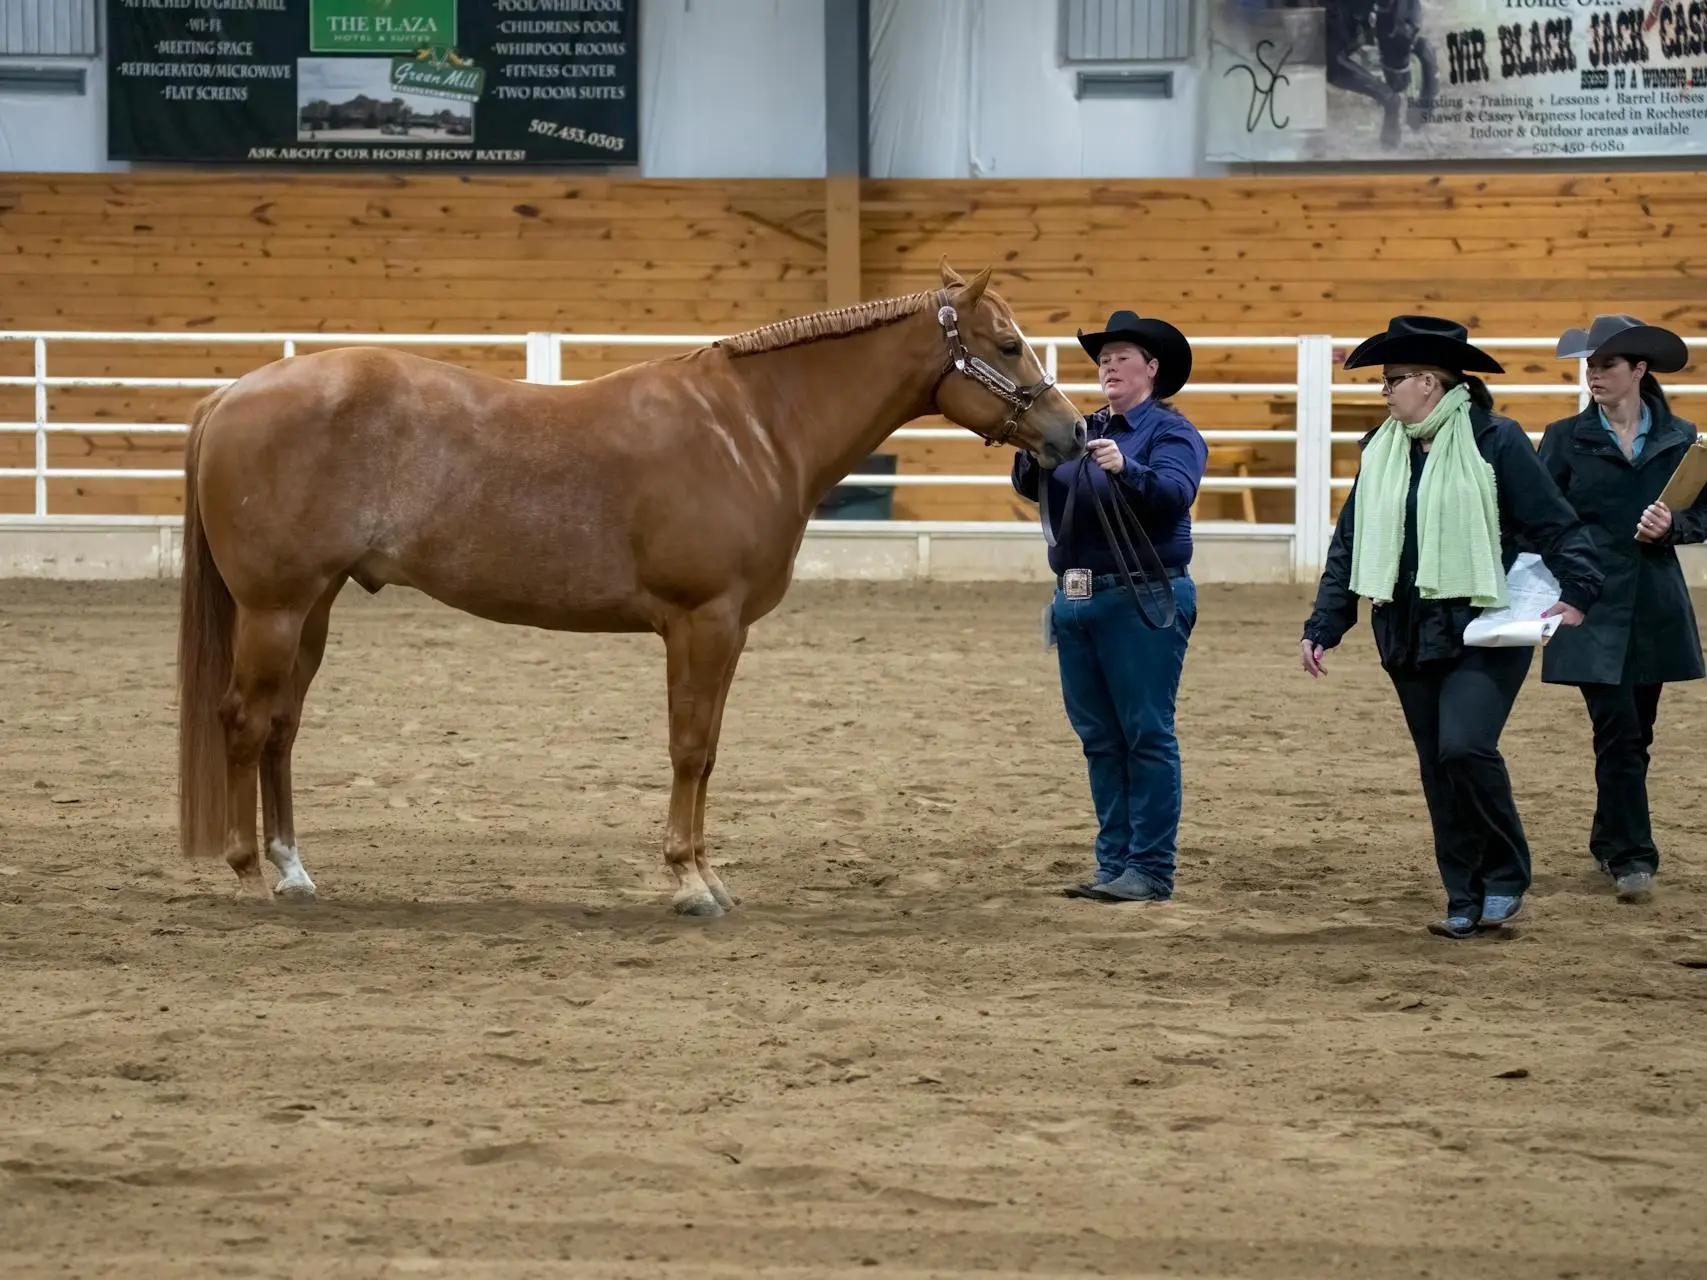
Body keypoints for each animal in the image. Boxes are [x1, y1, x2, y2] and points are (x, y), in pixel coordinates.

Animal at [173, 262, 1078, 921]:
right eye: (1006, 345)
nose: (1072, 434)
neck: (751, 429)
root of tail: (229, 395)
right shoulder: (703, 623)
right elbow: (691, 748)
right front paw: (690, 883)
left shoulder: (723, 630)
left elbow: (706, 750)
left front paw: (706, 875)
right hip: (274, 610)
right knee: (245, 722)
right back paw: (249, 876)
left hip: (312, 608)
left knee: (282, 728)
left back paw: (294, 871)